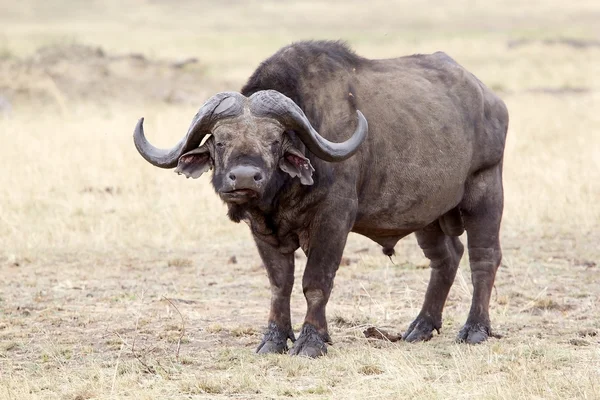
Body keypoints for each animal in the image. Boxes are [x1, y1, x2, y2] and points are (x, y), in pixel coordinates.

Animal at [134, 40, 508, 358]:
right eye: (220, 141)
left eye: (275, 140)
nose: (244, 177)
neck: (281, 197)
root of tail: (491, 101)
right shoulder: (261, 230)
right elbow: (279, 284)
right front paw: (273, 340)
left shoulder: (333, 220)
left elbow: (315, 282)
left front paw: (311, 341)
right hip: (426, 215)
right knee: (446, 257)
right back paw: (421, 326)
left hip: (486, 190)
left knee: (483, 258)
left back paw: (475, 329)